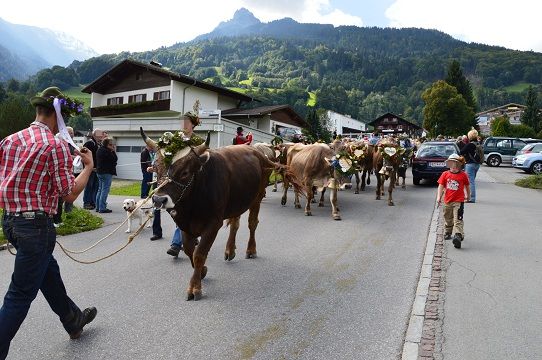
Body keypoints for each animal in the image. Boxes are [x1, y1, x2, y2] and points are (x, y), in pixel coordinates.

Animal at [140, 128, 304, 300]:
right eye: (155, 168)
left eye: (184, 172)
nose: (159, 199)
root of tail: (258, 152)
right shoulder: (184, 223)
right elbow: (189, 250)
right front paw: (202, 271)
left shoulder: (213, 224)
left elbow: (199, 254)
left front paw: (194, 287)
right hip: (237, 201)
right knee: (235, 224)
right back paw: (230, 250)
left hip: (257, 197)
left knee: (252, 223)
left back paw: (251, 250)